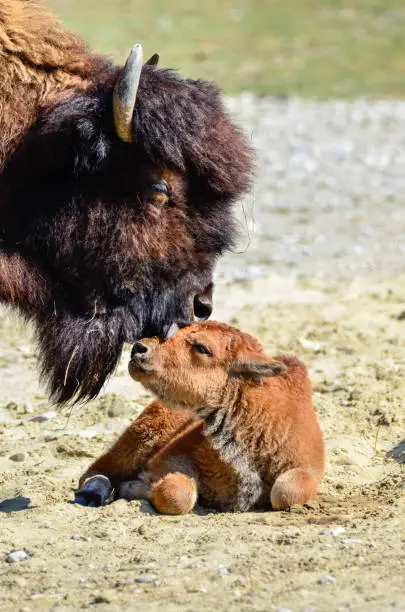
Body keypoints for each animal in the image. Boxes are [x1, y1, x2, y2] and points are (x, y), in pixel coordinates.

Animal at [77, 322, 324, 512]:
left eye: (202, 347)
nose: (139, 348)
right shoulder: (168, 457)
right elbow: (175, 493)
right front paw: (131, 488)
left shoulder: (307, 467)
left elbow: (284, 492)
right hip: (141, 436)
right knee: (98, 469)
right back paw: (91, 494)